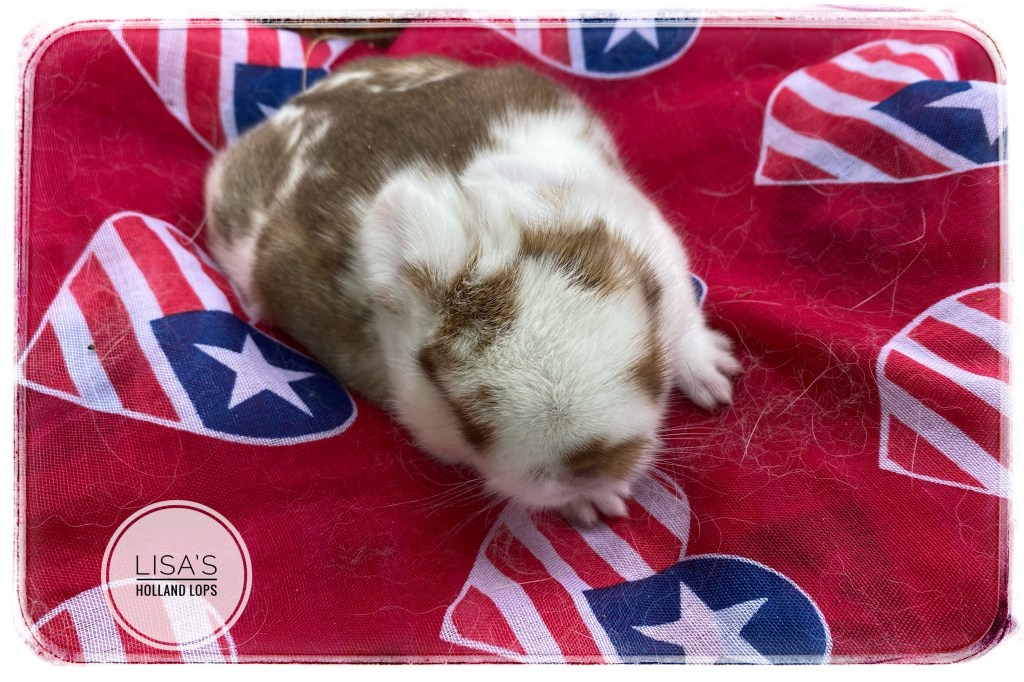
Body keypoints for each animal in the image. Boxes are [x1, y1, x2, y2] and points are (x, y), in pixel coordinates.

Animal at [204, 56, 741, 526]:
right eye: (460, 413)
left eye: (647, 358)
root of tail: (300, 101)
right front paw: (596, 505)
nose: (586, 471)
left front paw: (718, 379)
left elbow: (686, 326)